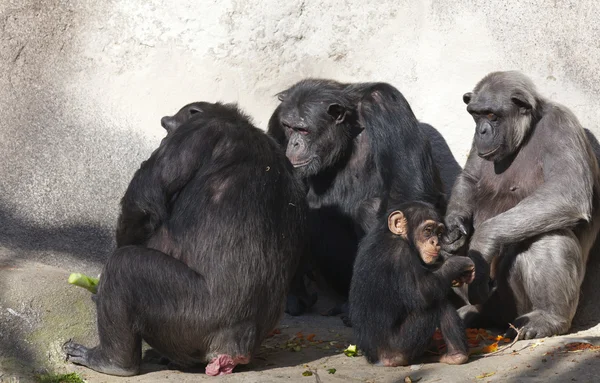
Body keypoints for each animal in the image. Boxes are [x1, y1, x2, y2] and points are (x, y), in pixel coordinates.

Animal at [268, 79, 446, 316]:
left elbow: (406, 185)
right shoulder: (277, 120)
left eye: (303, 130)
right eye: (289, 127)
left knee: (370, 209)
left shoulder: (386, 105)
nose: (294, 143)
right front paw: (293, 294)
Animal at [350, 202, 476, 368]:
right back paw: (456, 356)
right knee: (438, 303)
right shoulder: (399, 253)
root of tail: (375, 360)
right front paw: (457, 263)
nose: (436, 242)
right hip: (398, 348)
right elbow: (421, 293)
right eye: (428, 230)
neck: (401, 238)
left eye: (439, 233)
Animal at [446, 70, 600, 340]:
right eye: (476, 114)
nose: (481, 131)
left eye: (492, 115)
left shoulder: (561, 126)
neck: (527, 132)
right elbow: (470, 178)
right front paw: (454, 226)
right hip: (490, 304)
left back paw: (548, 319)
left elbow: (567, 191)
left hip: (514, 304)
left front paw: (482, 241)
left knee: (547, 235)